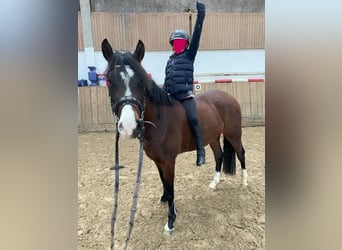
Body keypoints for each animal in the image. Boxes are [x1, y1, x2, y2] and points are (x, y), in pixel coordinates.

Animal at [100, 38, 247, 234]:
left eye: (142, 81)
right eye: (109, 80)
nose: (129, 125)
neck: (160, 119)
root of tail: (229, 97)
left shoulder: (169, 161)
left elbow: (171, 188)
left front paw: (170, 221)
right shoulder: (158, 161)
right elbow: (165, 184)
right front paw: (167, 202)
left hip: (233, 134)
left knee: (241, 153)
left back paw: (244, 183)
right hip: (213, 138)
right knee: (219, 155)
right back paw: (214, 183)